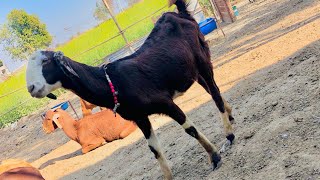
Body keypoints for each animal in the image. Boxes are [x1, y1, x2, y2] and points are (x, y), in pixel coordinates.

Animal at [25, 0, 235, 179]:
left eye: (45, 61)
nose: (31, 88)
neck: (113, 82)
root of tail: (180, 14)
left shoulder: (165, 103)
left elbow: (190, 128)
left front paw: (214, 157)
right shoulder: (140, 117)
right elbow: (154, 149)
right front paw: (168, 177)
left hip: (202, 58)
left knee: (215, 93)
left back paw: (229, 135)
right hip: (191, 70)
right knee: (210, 90)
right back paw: (230, 115)